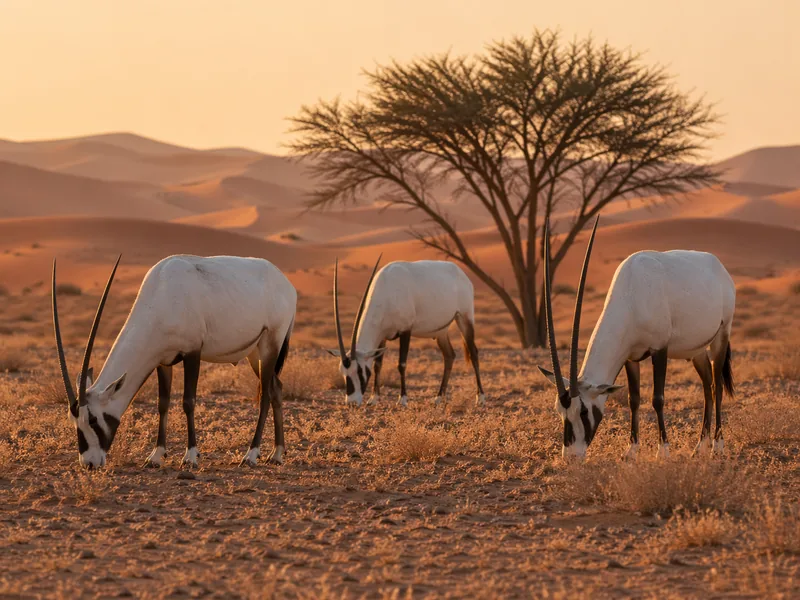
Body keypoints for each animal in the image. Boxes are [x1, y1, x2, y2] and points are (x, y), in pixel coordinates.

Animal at [52, 254, 296, 470]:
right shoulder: (163, 360)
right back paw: (277, 454)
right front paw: (156, 456)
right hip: (255, 353)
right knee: (276, 388)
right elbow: (163, 403)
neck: (162, 293)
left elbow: (188, 402)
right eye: (73, 420)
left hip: (270, 344)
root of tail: (287, 285)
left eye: (93, 419)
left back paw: (251, 455)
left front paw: (190, 457)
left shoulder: (192, 352)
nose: (89, 463)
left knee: (265, 396)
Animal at [328, 257, 485, 407]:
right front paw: (374, 398)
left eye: (360, 371)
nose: (352, 403)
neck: (386, 290)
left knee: (473, 353)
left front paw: (402, 399)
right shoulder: (382, 336)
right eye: (343, 372)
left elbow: (401, 364)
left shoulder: (405, 330)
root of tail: (461, 273)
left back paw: (480, 398)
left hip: (464, 318)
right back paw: (439, 398)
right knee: (449, 355)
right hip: (441, 331)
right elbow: (378, 364)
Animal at [537, 218, 735, 460]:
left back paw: (717, 445)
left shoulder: (659, 349)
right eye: (559, 410)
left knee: (717, 387)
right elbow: (634, 400)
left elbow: (657, 399)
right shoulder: (631, 357)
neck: (632, 295)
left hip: (721, 336)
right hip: (696, 350)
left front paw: (663, 451)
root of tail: (719, 266)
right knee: (708, 386)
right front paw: (631, 450)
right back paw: (700, 446)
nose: (571, 455)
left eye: (583, 411)